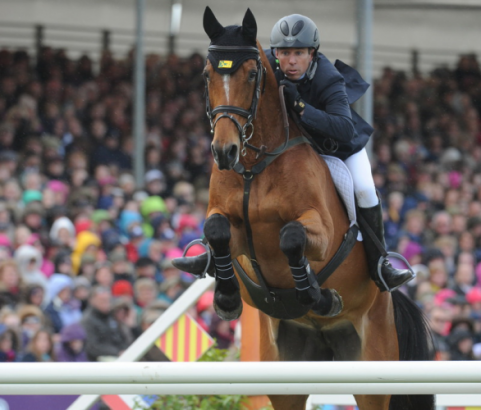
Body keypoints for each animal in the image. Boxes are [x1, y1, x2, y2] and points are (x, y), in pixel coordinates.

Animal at [172, 7, 432, 410]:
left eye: (252, 74)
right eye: (207, 74)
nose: (224, 152)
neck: (256, 165)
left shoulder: (321, 232)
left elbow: (291, 237)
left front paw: (317, 295)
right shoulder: (230, 227)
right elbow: (217, 233)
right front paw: (227, 298)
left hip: (372, 366)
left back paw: (372, 279)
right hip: (287, 370)